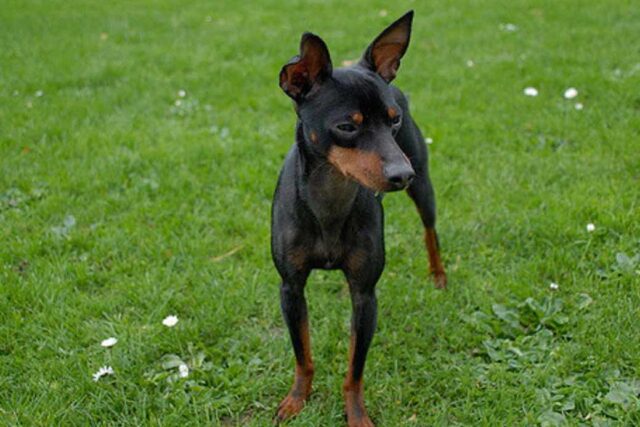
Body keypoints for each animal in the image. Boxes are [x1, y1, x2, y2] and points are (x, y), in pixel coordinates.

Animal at [270, 10, 444, 427]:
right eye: (347, 127)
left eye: (394, 121)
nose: (401, 174)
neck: (331, 198)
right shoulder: (291, 289)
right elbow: (302, 355)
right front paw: (296, 400)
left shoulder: (364, 296)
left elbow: (355, 369)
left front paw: (357, 415)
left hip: (424, 188)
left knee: (430, 231)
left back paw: (439, 276)